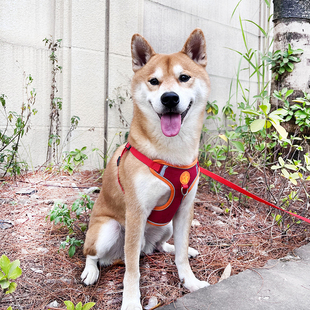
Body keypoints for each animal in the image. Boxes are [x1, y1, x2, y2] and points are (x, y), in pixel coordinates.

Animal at [81, 27, 211, 308]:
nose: (170, 98)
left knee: (160, 247)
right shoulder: (136, 212)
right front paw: (131, 302)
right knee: (92, 254)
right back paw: (90, 271)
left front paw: (190, 281)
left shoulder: (185, 209)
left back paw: (178, 249)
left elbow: (180, 255)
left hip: (167, 225)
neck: (172, 155)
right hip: (108, 230)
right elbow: (132, 271)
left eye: (184, 78)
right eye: (154, 81)